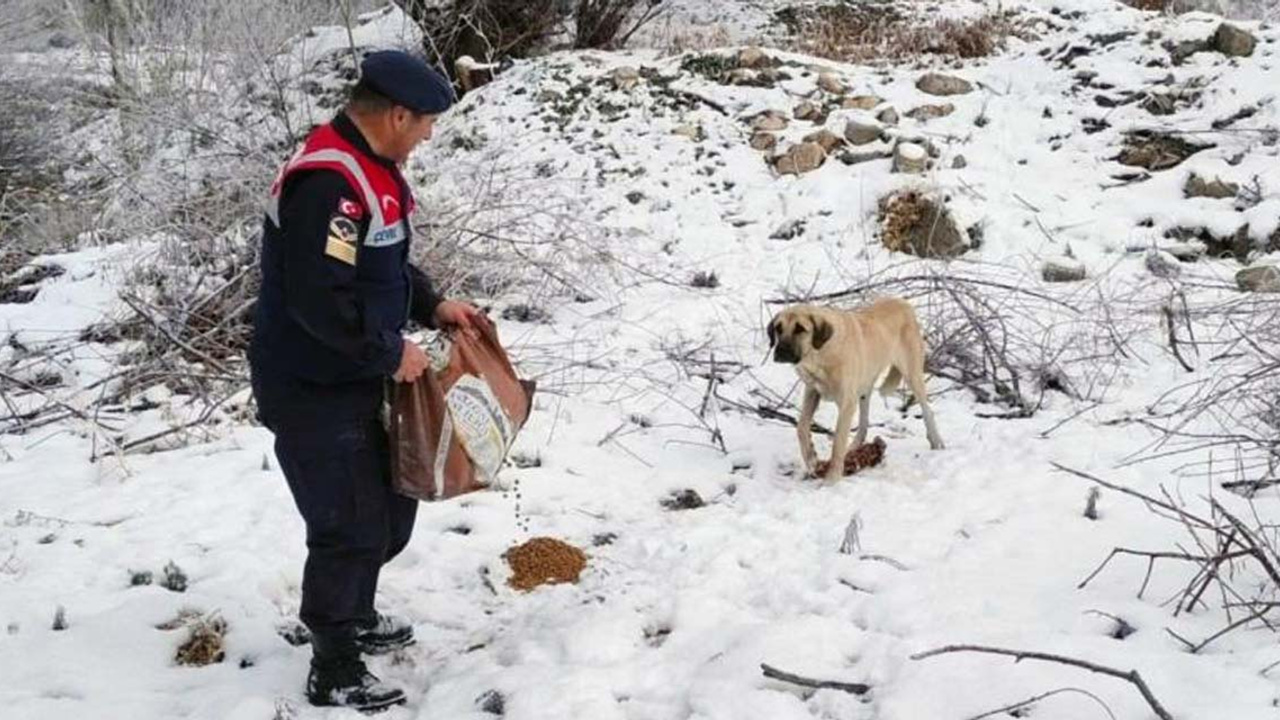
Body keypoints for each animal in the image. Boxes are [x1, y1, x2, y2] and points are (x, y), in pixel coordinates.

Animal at [762, 294, 947, 479]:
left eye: (800, 329)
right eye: (778, 328)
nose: (780, 352)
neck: (821, 353)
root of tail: (903, 302)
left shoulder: (846, 403)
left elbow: (838, 441)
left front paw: (832, 478)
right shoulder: (812, 392)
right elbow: (801, 427)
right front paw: (812, 459)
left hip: (912, 374)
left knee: (927, 410)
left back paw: (937, 441)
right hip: (864, 385)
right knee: (864, 423)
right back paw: (854, 447)